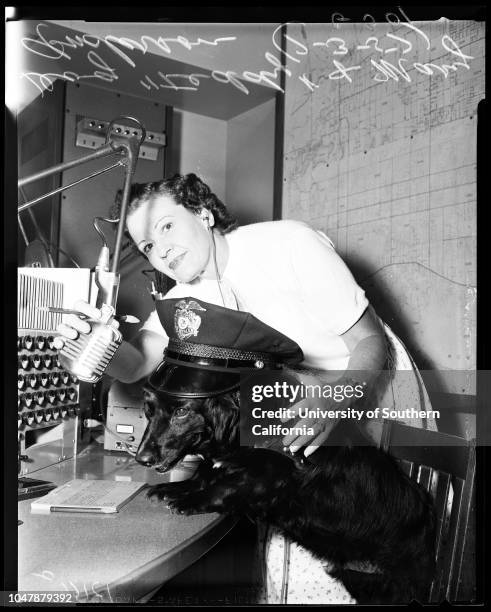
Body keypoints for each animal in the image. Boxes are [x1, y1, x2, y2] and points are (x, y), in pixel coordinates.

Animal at [136, 388, 436, 604]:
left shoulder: (269, 475)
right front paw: (172, 489)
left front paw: (187, 500)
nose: (141, 459)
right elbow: (204, 476)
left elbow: (225, 487)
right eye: (149, 410)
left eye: (181, 411)